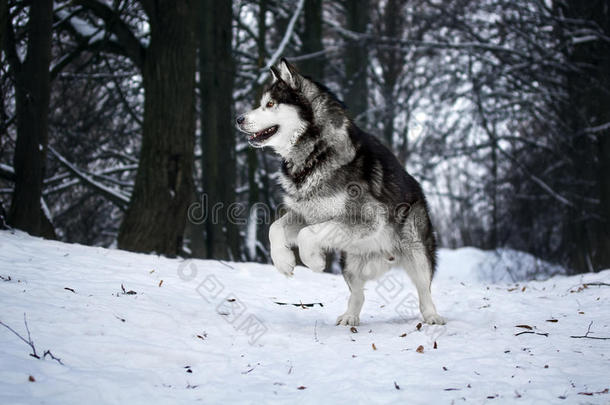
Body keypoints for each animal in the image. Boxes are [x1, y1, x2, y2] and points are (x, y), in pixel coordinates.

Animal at [236, 58, 442, 326]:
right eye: (262, 103)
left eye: (270, 104)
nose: (239, 119)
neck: (315, 153)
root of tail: (386, 257)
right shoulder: (307, 214)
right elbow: (275, 228)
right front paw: (284, 262)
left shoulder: (366, 218)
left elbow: (306, 235)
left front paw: (314, 261)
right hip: (350, 262)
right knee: (358, 294)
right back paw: (350, 317)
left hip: (416, 250)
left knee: (424, 290)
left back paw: (432, 316)